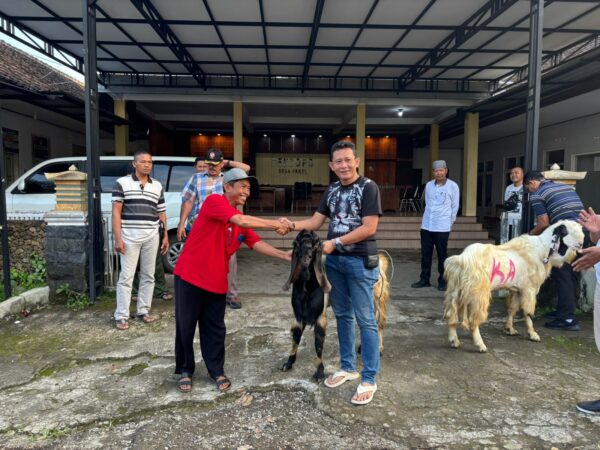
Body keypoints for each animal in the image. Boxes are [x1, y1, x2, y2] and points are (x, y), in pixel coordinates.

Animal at [282, 230, 394, 382]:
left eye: (315, 243)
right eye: (297, 242)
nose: (306, 257)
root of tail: (380, 262)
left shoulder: (320, 316)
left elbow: (318, 344)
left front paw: (319, 372)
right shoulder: (299, 314)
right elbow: (296, 337)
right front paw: (289, 363)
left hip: (376, 297)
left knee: (378, 322)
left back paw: (379, 349)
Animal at [440, 220, 580, 354]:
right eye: (566, 232)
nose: (579, 248)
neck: (541, 250)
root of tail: (461, 260)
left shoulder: (517, 290)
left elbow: (512, 309)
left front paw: (509, 329)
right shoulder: (529, 289)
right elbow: (528, 312)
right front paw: (533, 334)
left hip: (455, 292)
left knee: (451, 315)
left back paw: (454, 341)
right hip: (478, 294)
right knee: (473, 321)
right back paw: (480, 345)